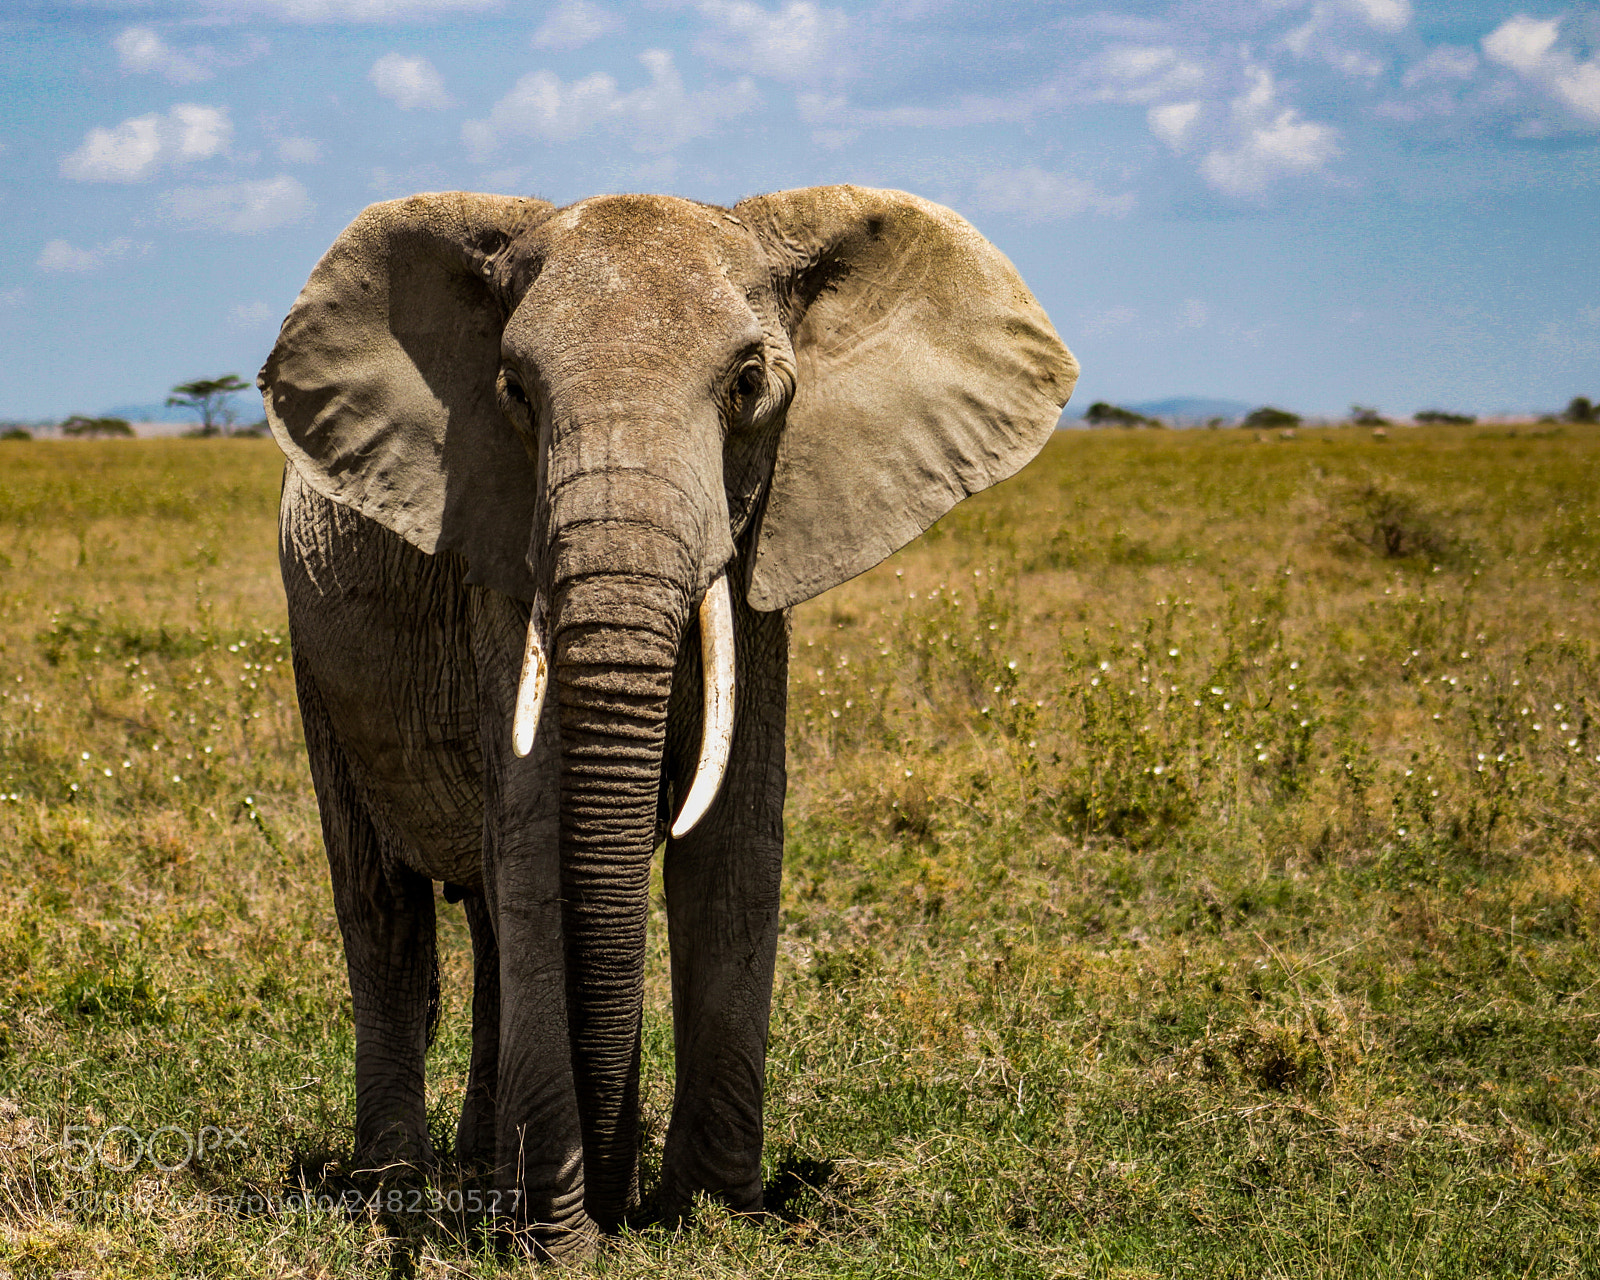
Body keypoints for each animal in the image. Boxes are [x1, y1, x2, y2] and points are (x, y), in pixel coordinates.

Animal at [258, 183, 1076, 1259]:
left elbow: (731, 845)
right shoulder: (499, 553)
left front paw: (713, 1218)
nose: (620, 1206)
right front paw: (557, 1244)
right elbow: (537, 838)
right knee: (383, 908)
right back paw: (395, 1190)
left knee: (487, 918)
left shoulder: (764, 542)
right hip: (314, 654)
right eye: (514, 392)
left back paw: (483, 1164)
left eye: (748, 384)